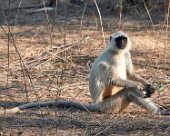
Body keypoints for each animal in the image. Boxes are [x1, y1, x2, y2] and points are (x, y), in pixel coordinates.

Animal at [0, 31, 168, 115]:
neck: (117, 52)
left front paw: (149, 86)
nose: (122, 43)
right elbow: (114, 80)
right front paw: (141, 87)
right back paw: (157, 112)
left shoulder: (126, 53)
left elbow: (130, 73)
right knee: (129, 91)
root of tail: (95, 105)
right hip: (107, 106)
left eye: (124, 39)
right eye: (118, 39)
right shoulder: (112, 58)